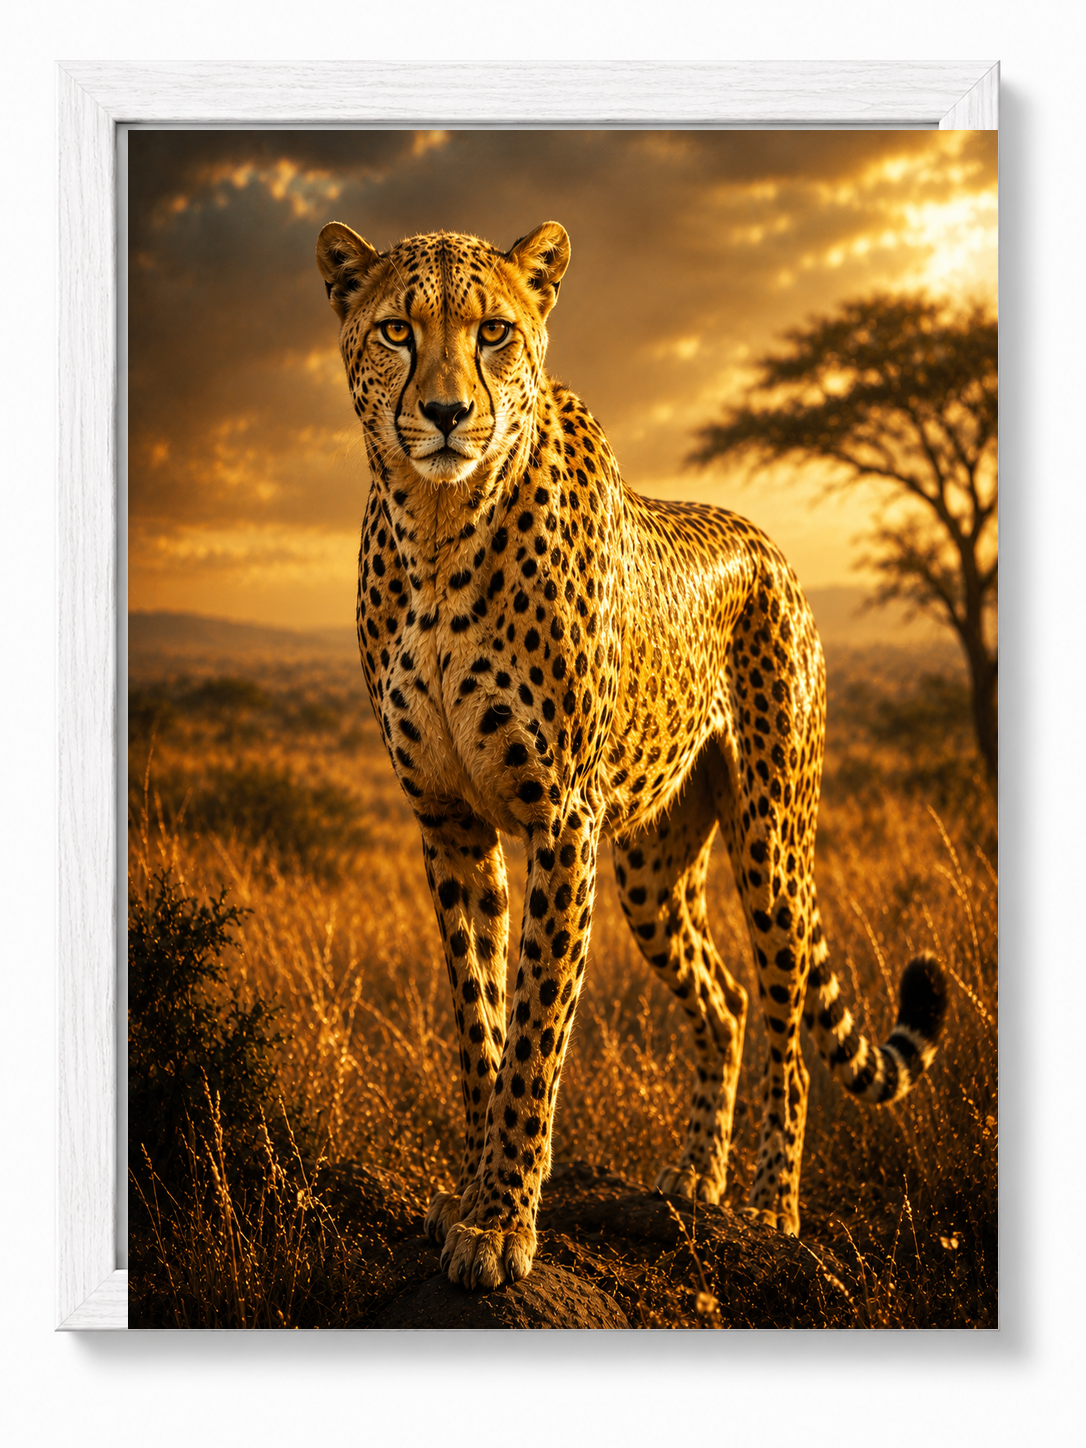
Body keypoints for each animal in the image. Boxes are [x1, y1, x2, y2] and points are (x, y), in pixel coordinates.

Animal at [315, 217, 948, 1292]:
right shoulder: (449, 820)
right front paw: (473, 1194)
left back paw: (771, 1213)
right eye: (398, 329)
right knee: (723, 999)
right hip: (653, 866)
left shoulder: (560, 817)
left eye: (493, 331)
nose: (445, 413)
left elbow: (536, 1030)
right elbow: (481, 1020)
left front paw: (501, 1220)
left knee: (783, 1023)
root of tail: (770, 543)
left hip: (770, 841)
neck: (439, 526)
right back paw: (694, 1182)